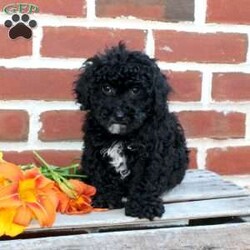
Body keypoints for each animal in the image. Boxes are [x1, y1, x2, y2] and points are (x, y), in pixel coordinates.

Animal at [75, 43, 188, 221]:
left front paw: (144, 206)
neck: (122, 137)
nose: (119, 115)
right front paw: (106, 198)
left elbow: (145, 179)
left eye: (135, 90)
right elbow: (102, 174)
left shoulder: (150, 154)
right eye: (106, 88)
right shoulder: (95, 150)